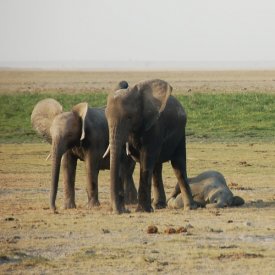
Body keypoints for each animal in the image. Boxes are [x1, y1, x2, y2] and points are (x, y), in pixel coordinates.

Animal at [105, 78, 196, 215]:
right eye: (106, 117)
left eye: (129, 117)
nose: (117, 211)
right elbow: (121, 158)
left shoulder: (154, 127)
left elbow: (146, 158)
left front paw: (142, 210)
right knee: (156, 168)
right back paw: (159, 205)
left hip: (180, 133)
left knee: (178, 166)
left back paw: (189, 207)